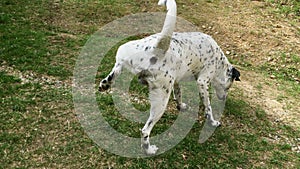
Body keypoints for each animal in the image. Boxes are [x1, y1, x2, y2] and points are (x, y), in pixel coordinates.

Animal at [98, 0, 239, 154]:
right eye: (228, 87)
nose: (224, 98)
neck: (220, 61)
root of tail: (156, 48)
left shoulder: (176, 81)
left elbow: (178, 95)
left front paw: (181, 106)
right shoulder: (202, 82)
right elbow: (208, 107)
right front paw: (213, 122)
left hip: (123, 55)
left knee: (115, 71)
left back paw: (105, 84)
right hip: (161, 101)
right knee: (145, 130)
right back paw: (149, 150)